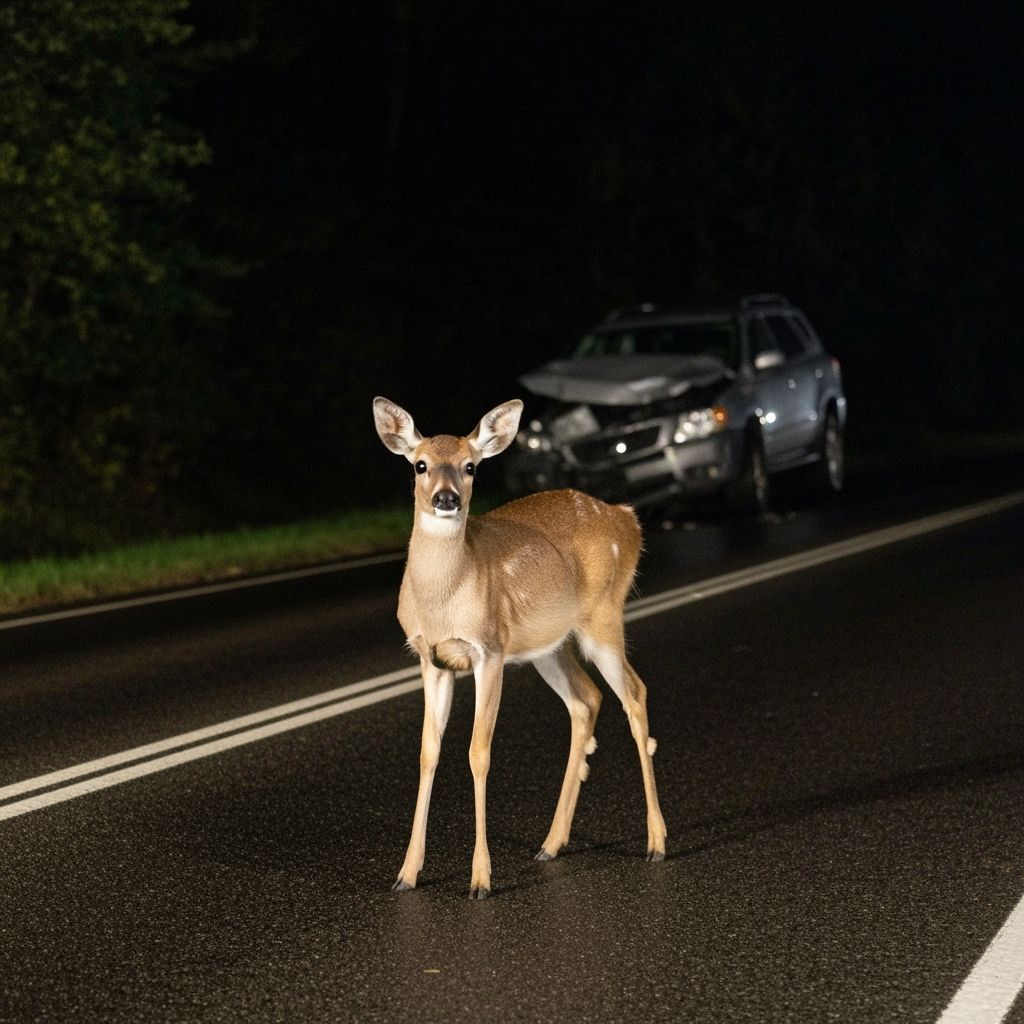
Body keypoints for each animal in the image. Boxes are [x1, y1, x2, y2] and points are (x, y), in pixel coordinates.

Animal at [373, 396, 667, 898]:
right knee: (587, 699)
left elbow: (478, 752)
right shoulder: (432, 659)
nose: (446, 498)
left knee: (635, 693)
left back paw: (656, 842)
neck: (444, 600)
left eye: (470, 466)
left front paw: (480, 879)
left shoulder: (489, 650)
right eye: (420, 465)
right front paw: (406, 873)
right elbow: (428, 751)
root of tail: (627, 517)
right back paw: (551, 843)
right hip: (549, 645)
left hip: (604, 617)